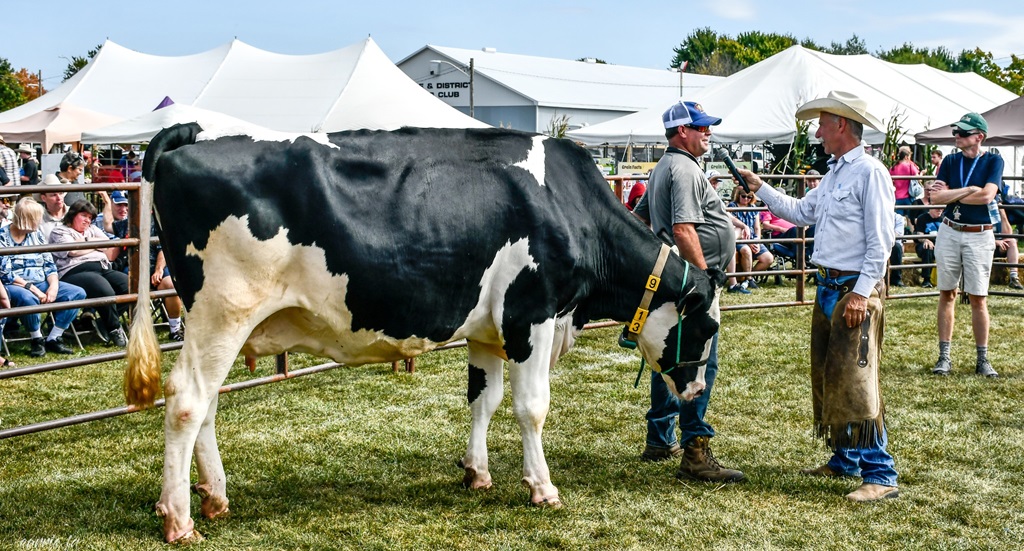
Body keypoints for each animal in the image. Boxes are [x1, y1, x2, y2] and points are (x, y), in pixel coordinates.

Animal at [124, 123, 725, 543]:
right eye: (708, 326)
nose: (696, 389)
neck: (569, 205)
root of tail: (193, 135)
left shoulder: (488, 329)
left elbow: (484, 398)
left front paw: (477, 472)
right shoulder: (531, 314)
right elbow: (531, 407)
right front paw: (542, 487)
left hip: (215, 324)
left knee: (206, 405)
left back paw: (213, 497)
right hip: (223, 310)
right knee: (186, 400)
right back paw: (179, 518)